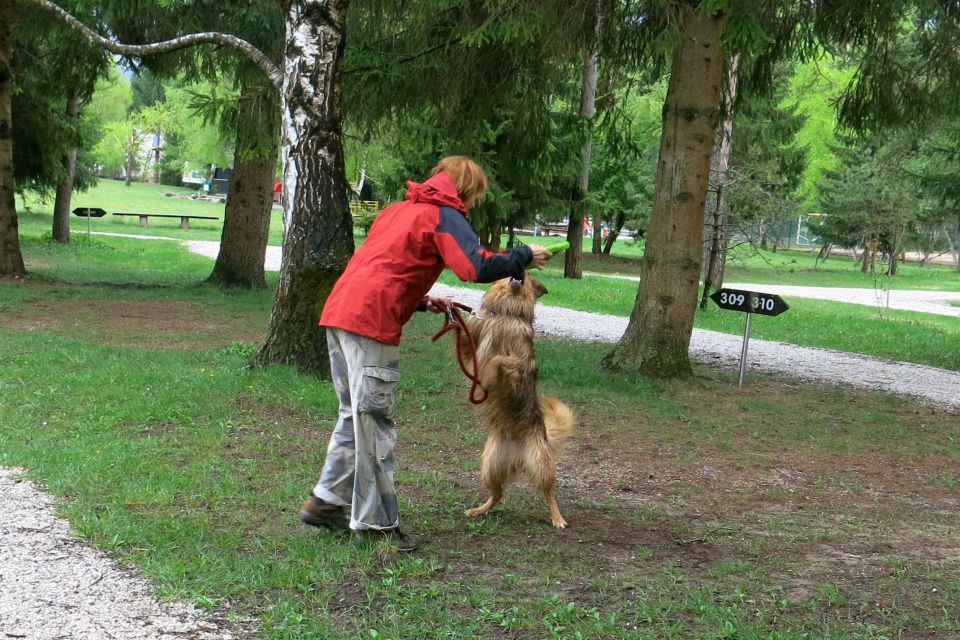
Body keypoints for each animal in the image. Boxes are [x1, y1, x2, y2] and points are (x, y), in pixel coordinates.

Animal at [462, 272, 572, 528]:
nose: (521, 271)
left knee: (550, 491)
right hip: (489, 466)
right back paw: (479, 510)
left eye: (528, 275)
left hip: (540, 463)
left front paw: (495, 369)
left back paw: (558, 518)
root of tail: (518, 456)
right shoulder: (473, 344)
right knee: (497, 495)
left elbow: (502, 359)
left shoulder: (518, 367)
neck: (508, 314)